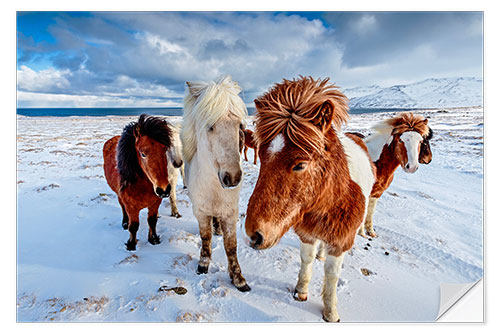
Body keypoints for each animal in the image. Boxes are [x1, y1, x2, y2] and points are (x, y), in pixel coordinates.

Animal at [102, 113, 173, 249]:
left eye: (165, 149)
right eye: (142, 154)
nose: (164, 189)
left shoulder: (155, 203)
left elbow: (152, 221)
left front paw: (153, 240)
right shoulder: (131, 208)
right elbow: (133, 226)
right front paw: (131, 245)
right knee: (122, 206)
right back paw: (124, 222)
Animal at [180, 74, 250, 290]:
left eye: (239, 126)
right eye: (210, 126)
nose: (232, 177)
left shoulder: (230, 212)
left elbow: (231, 245)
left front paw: (238, 279)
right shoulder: (201, 211)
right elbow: (205, 237)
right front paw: (203, 264)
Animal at [244, 76, 376, 320]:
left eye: (300, 164)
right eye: (262, 156)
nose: (254, 235)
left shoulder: (341, 241)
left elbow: (332, 275)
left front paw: (330, 312)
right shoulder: (306, 233)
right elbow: (306, 260)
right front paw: (300, 292)